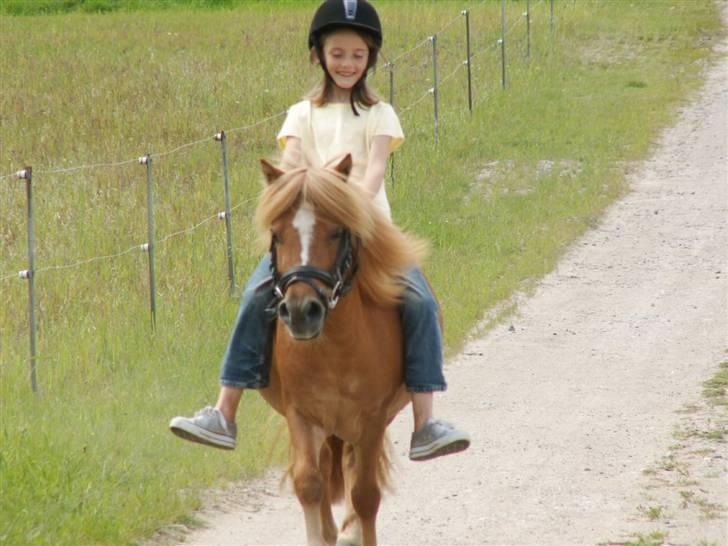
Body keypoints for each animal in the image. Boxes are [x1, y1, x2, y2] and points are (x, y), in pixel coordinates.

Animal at [256, 154, 426, 544]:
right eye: (276, 235)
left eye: (336, 232)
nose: (301, 312)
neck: (333, 351)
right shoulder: (301, 414)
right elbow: (309, 483)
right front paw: (320, 534)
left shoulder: (372, 418)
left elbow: (365, 495)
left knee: (350, 466)